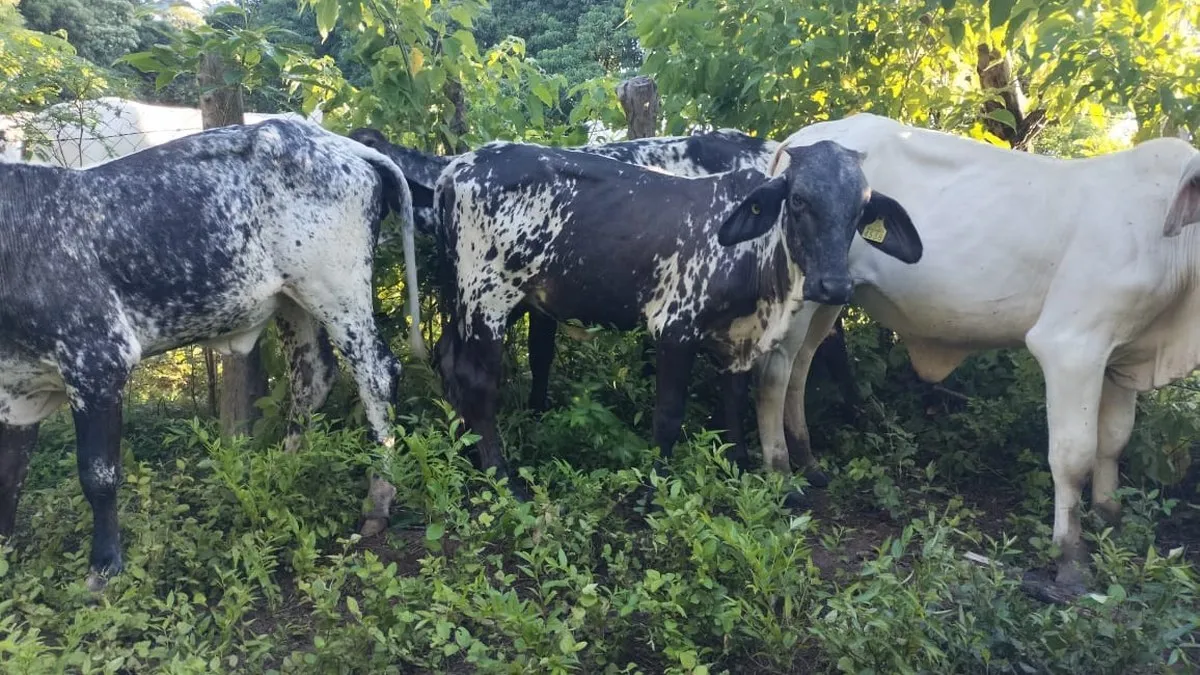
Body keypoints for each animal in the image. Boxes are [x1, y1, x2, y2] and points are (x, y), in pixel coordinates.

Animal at [0, 118, 422, 586]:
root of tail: (338, 144)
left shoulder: (97, 361)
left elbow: (98, 474)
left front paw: (104, 566)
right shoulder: (16, 394)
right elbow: (9, 476)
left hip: (336, 291)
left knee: (378, 373)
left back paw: (378, 499)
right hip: (292, 299)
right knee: (312, 377)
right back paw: (283, 471)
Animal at [434, 140, 926, 487]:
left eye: (862, 209)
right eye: (799, 200)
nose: (834, 286)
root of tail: (454, 169)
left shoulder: (735, 340)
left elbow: (733, 401)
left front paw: (737, 462)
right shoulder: (674, 329)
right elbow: (669, 416)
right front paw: (654, 484)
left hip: (470, 300)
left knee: (448, 361)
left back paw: (464, 446)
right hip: (488, 299)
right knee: (478, 383)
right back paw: (500, 474)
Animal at [753, 111, 1195, 588]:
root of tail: (800, 138)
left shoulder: (1122, 353)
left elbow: (1113, 442)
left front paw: (1109, 517)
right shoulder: (1071, 347)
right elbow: (1073, 456)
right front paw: (1072, 558)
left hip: (828, 296)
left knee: (802, 366)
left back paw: (808, 459)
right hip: (800, 295)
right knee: (776, 371)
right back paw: (780, 471)